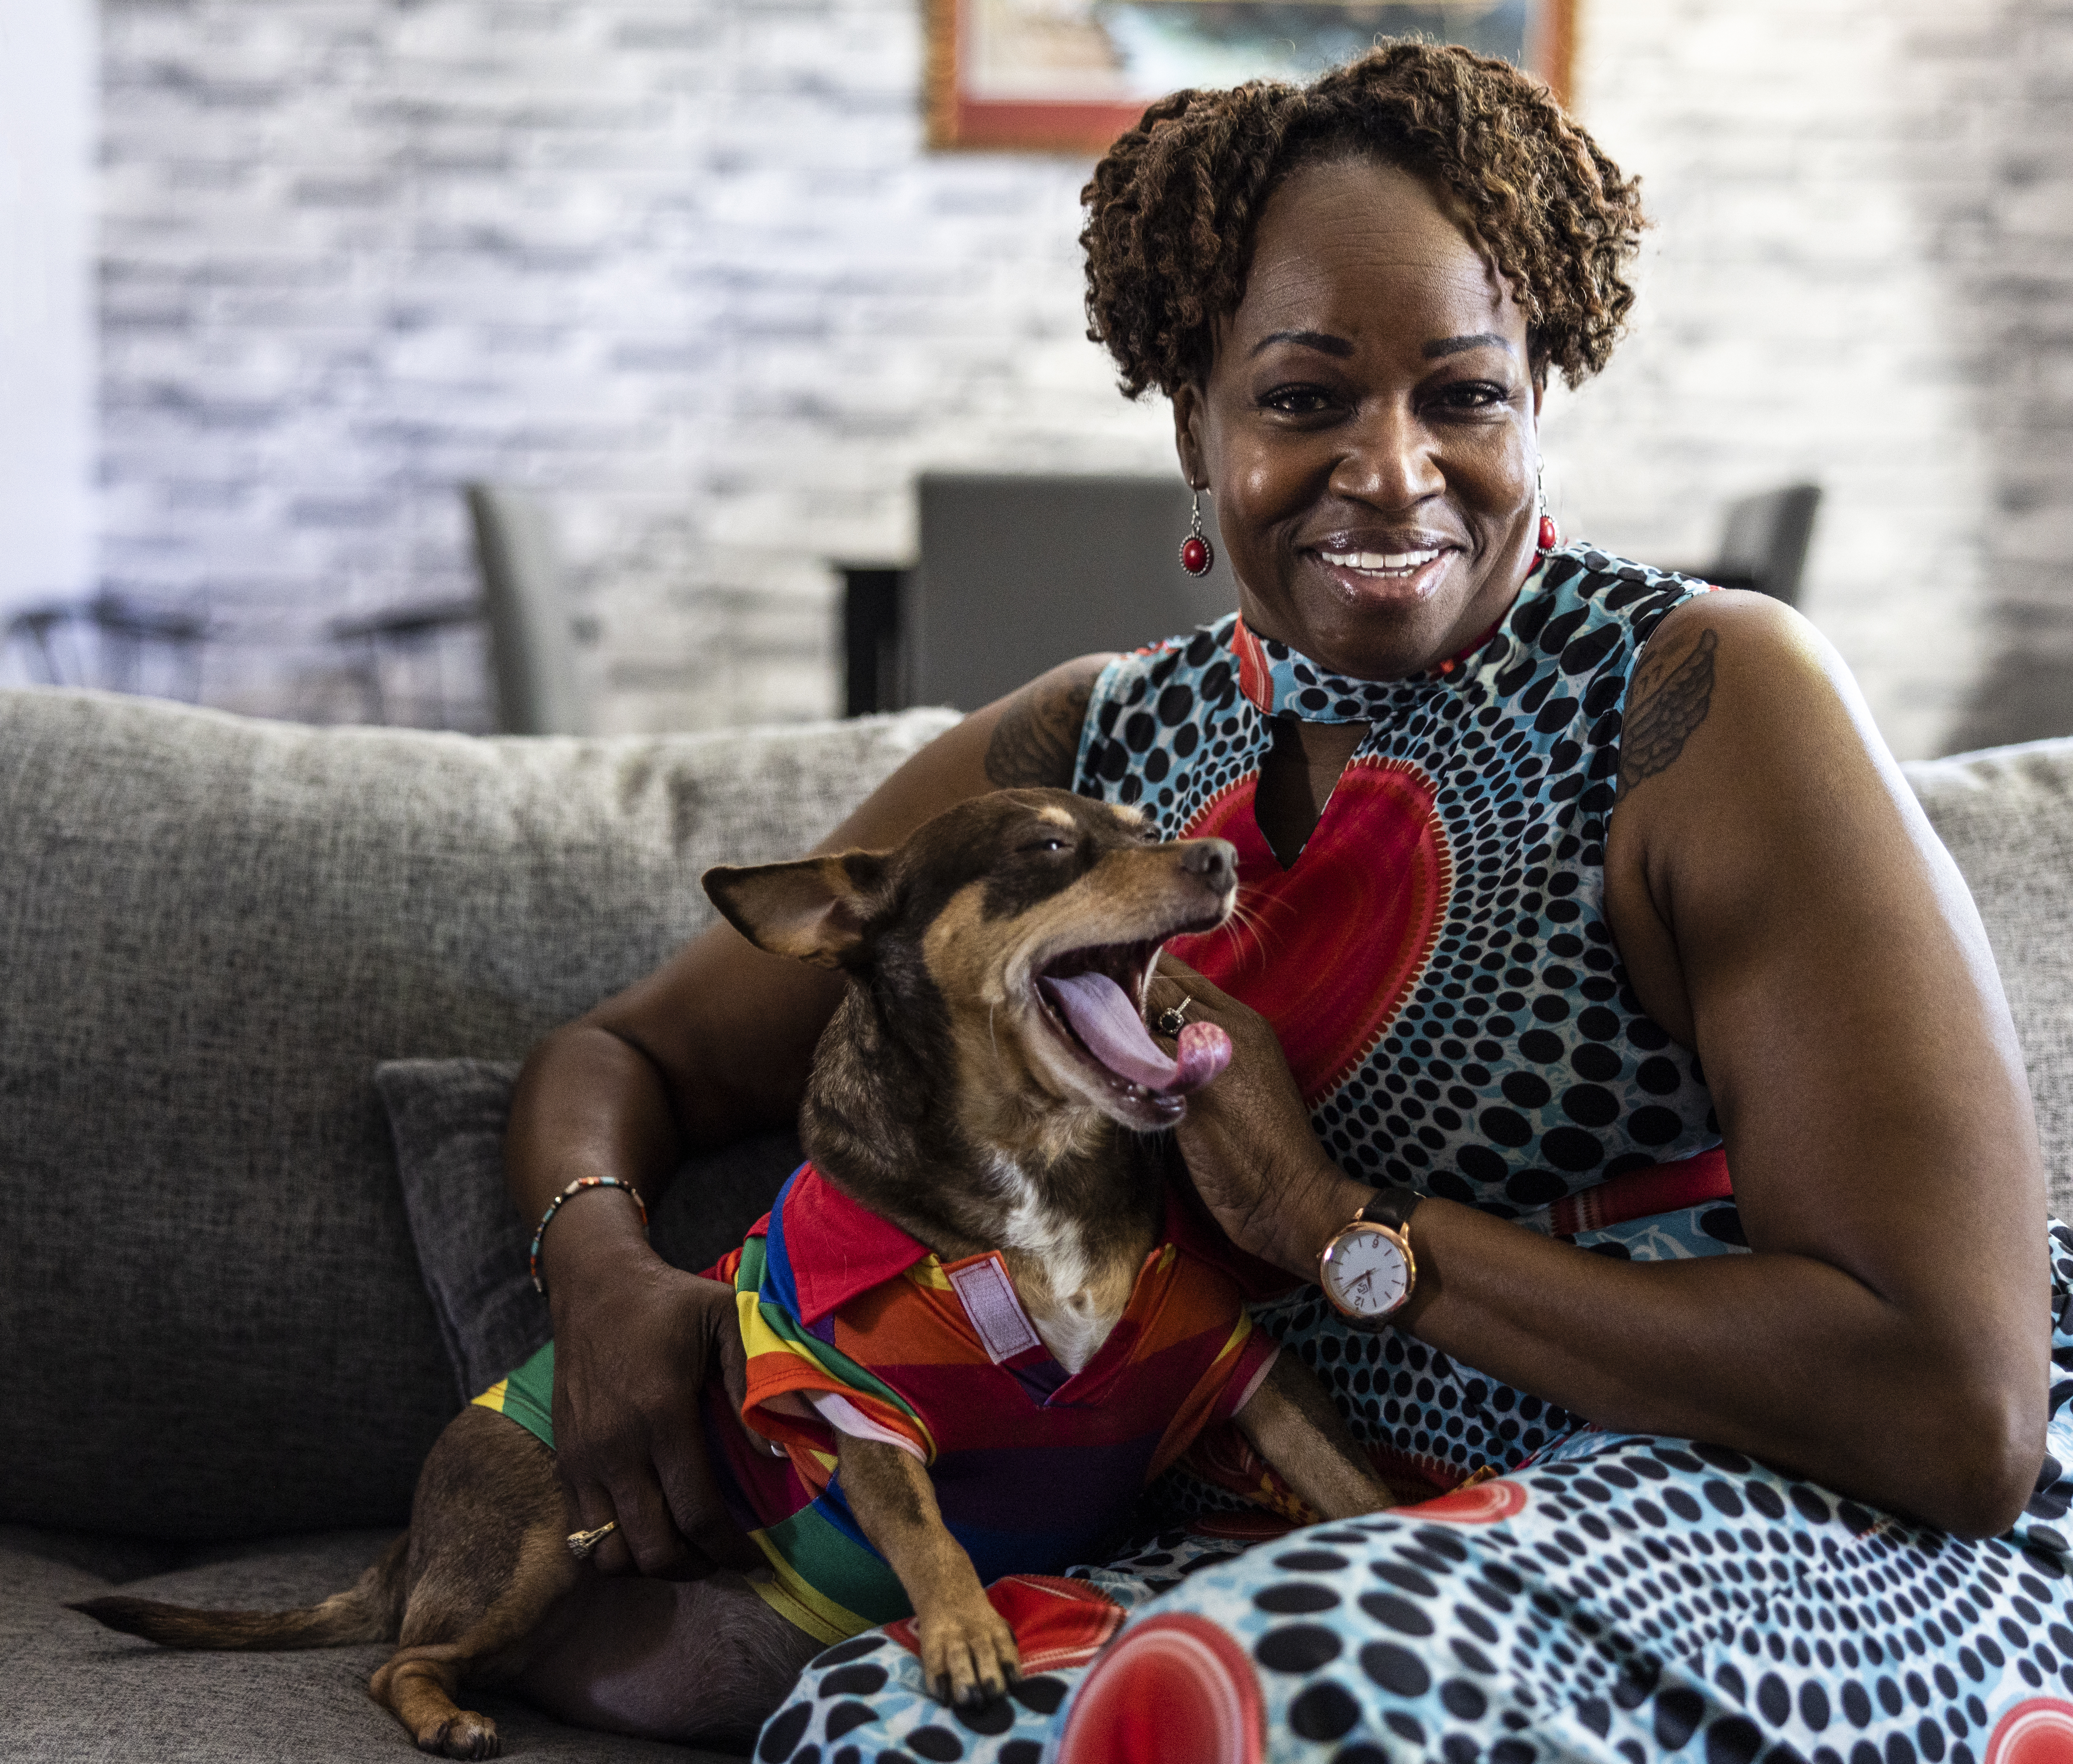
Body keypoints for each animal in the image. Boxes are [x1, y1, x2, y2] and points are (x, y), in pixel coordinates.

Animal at [73, 791, 1393, 1758]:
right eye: (1052, 848)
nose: (1222, 856)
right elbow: (926, 1533)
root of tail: (410, 1543)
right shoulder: (855, 1406)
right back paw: (446, 1714)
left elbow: (1342, 1472)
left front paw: (1398, 1523)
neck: (1039, 1169)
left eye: (1144, 822)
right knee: (394, 1661)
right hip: (543, 1535)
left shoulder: (1236, 1368)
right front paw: (967, 1629)